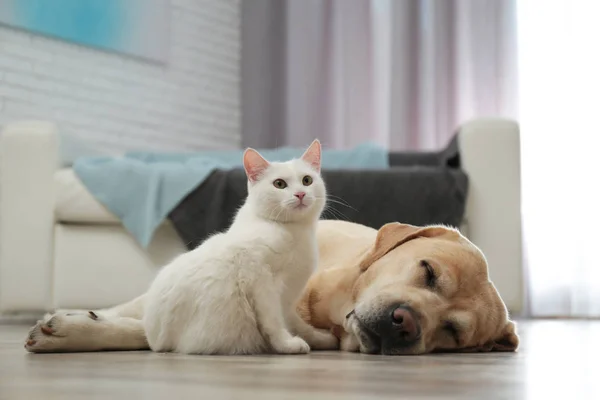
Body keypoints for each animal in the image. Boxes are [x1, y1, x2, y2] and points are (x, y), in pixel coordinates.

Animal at [141, 140, 338, 354]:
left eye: (307, 180)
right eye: (279, 184)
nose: (300, 194)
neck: (292, 230)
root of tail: (153, 340)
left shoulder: (287, 299)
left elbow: (296, 321)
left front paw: (319, 338)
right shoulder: (261, 281)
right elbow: (273, 320)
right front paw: (286, 343)